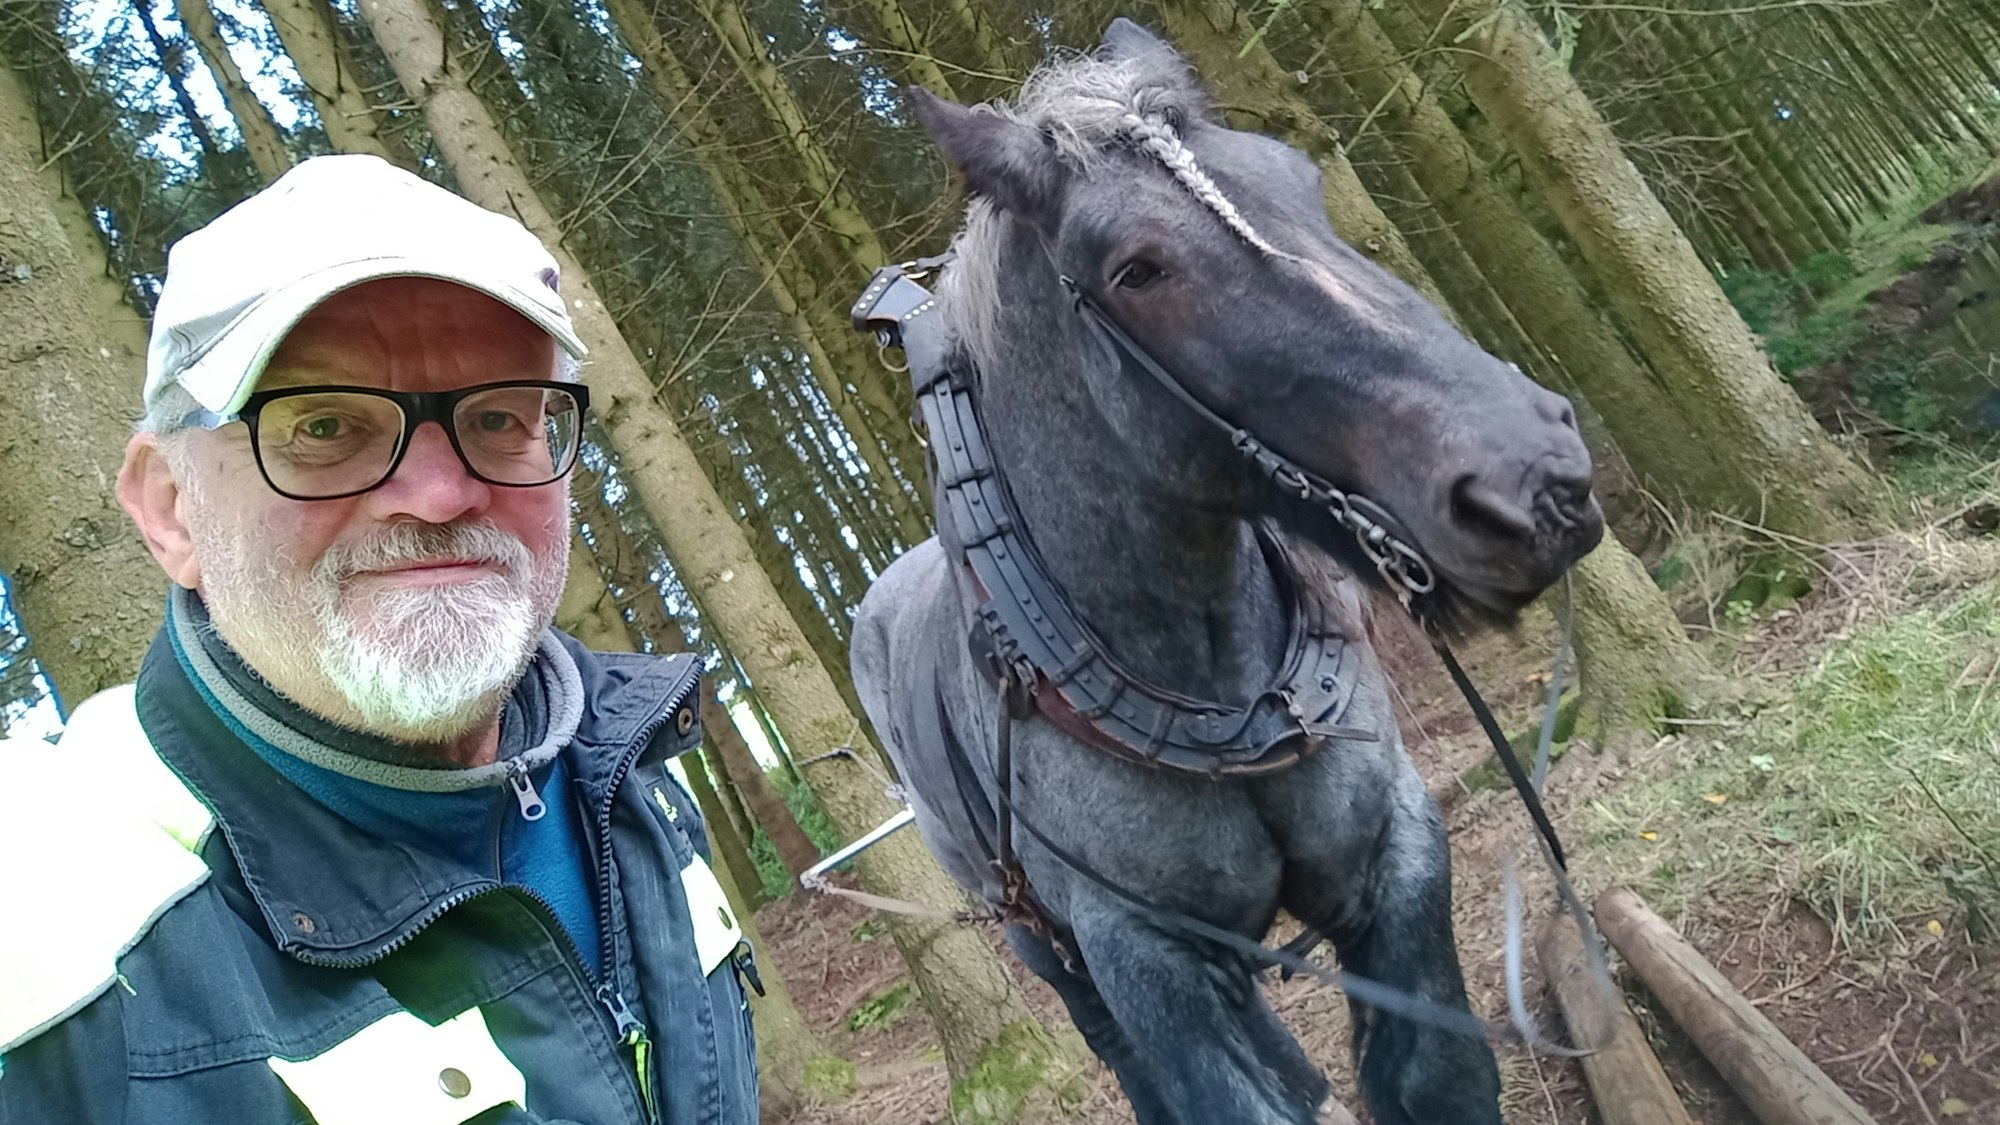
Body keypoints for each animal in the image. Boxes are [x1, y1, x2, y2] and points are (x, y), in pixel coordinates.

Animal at [850, 19, 1603, 1124]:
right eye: (1136, 270)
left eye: (1302, 181)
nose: (1534, 480)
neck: (1209, 675)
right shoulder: (1143, 953)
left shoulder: (1396, 848)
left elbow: (1437, 1073)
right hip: (1039, 941)